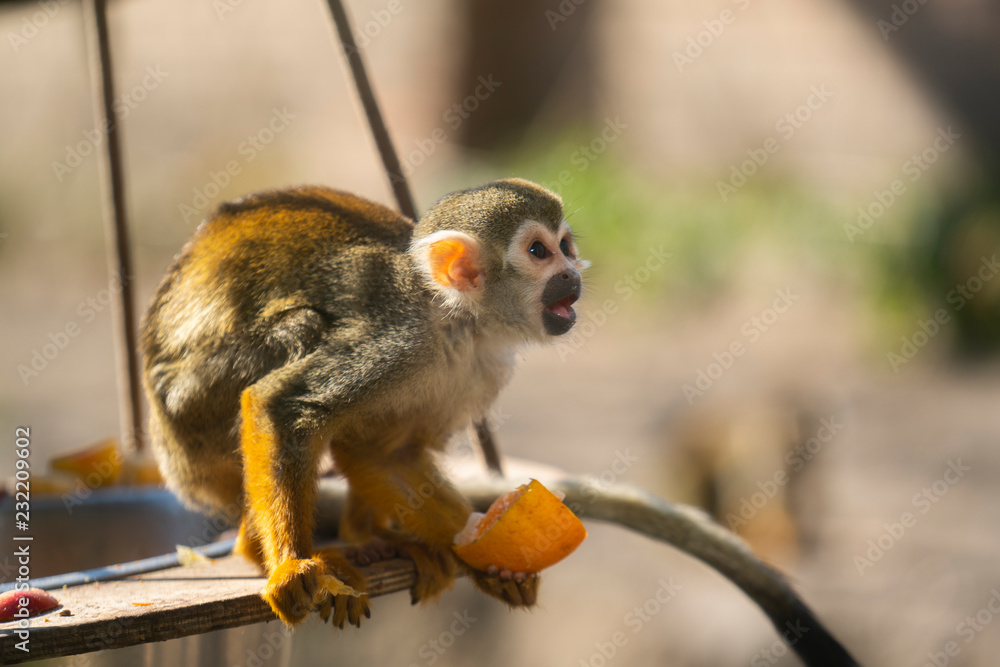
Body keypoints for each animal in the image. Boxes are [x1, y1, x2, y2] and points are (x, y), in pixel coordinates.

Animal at [140, 178, 585, 628]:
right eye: (538, 251)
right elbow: (281, 406)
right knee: (303, 329)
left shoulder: (483, 371)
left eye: (566, 246)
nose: (572, 272)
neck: (457, 323)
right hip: (189, 405)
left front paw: (485, 559)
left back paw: (371, 539)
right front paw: (289, 565)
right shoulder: (396, 339)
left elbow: (388, 454)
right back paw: (263, 550)